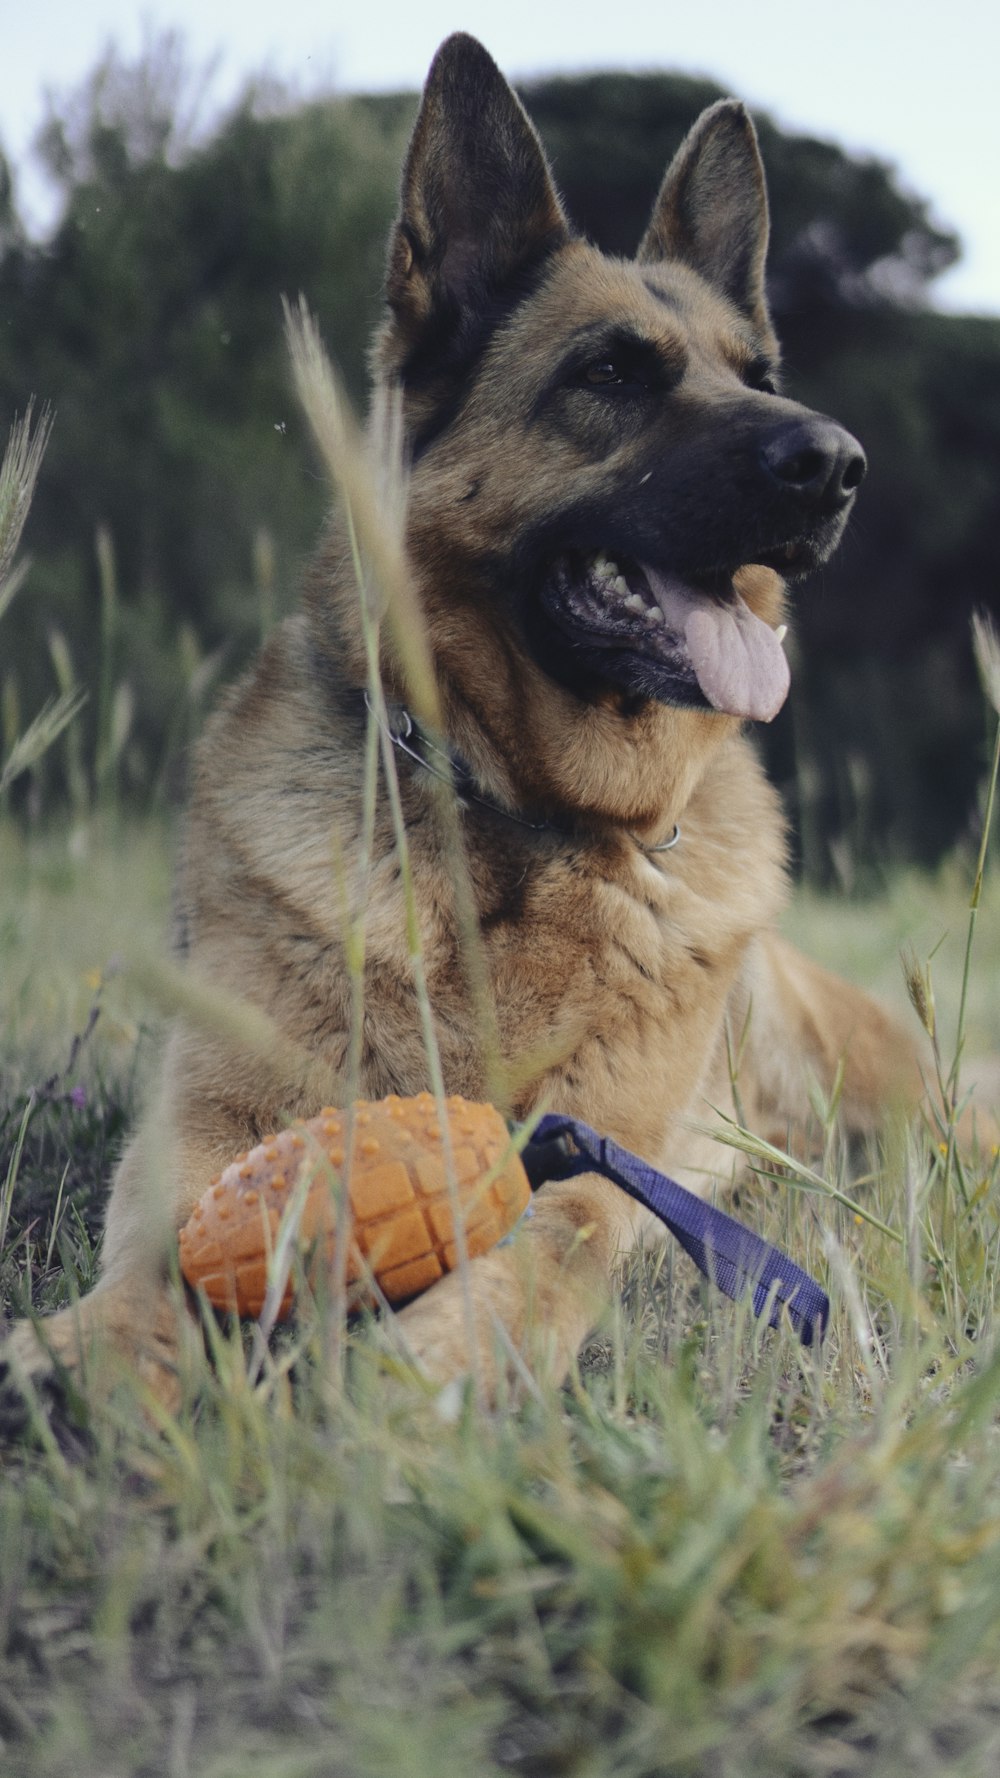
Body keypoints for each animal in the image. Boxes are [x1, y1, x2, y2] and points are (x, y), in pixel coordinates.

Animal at [3, 34, 939, 1408]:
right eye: (610, 372)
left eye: (757, 378)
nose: (836, 463)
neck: (529, 823)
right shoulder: (210, 1118)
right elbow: (165, 1246)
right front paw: (89, 1346)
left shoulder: (607, 1157)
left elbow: (549, 1249)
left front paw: (428, 1368)